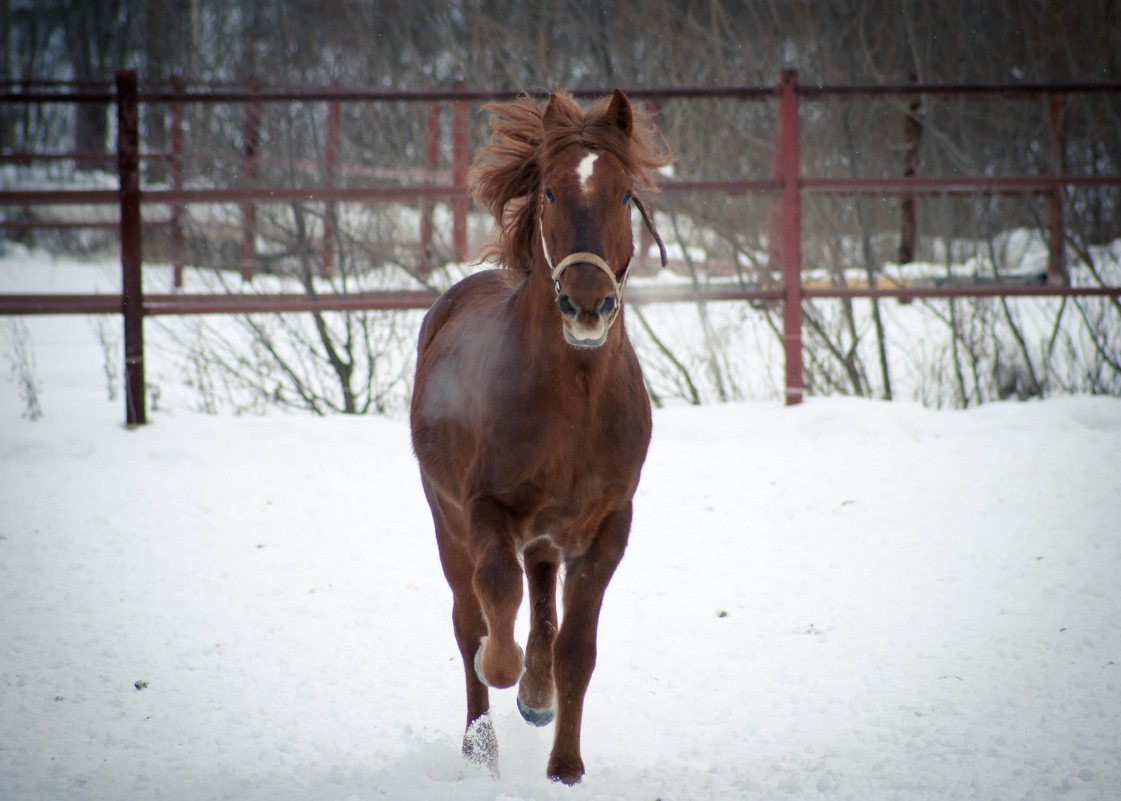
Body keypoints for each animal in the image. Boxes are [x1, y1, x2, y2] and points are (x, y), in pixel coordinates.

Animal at [414, 87, 668, 784]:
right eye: (550, 191)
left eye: (625, 196)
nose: (587, 305)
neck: (573, 400)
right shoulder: (485, 509)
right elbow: (495, 601)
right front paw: (505, 676)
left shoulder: (608, 526)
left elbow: (576, 648)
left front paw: (565, 766)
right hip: (447, 520)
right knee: (469, 615)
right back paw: (481, 747)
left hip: (551, 534)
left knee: (542, 602)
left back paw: (535, 693)